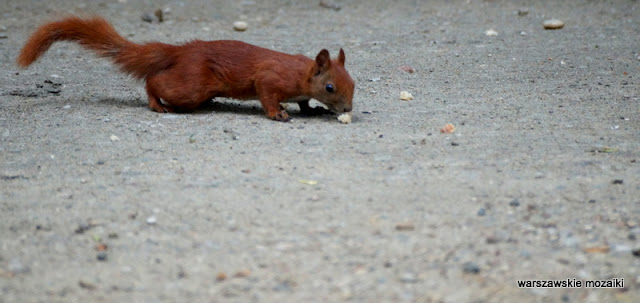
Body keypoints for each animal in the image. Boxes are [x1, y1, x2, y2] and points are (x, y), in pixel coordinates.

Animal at [16, 15, 356, 121]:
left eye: (353, 84)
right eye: (330, 87)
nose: (347, 109)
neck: (301, 72)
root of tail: (180, 52)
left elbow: (304, 101)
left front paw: (313, 109)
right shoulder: (271, 78)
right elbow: (268, 96)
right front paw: (279, 114)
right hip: (192, 85)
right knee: (154, 81)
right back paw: (158, 105)